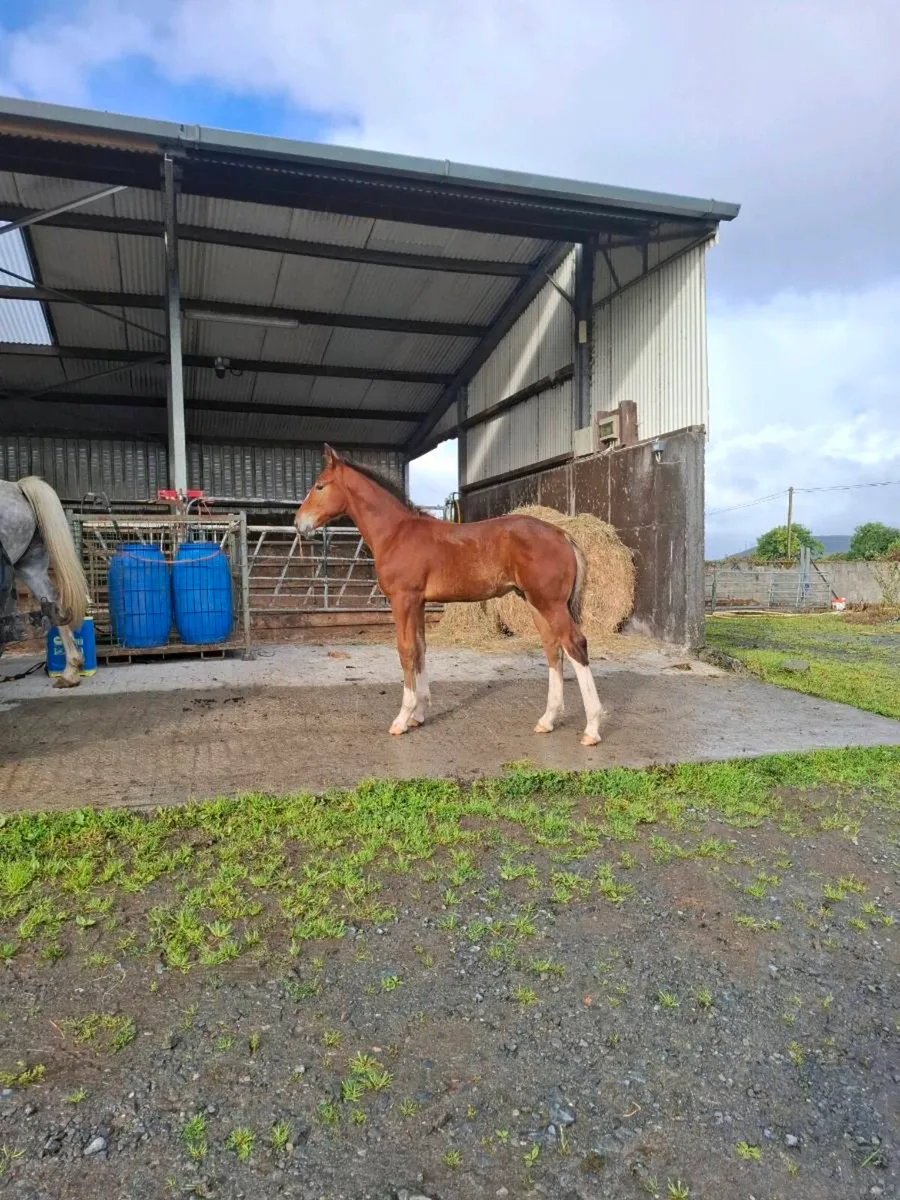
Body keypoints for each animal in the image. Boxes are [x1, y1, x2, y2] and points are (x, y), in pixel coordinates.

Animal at [294, 445, 605, 745]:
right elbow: (420, 648)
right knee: (554, 648)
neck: (396, 533)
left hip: (550, 603)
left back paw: (591, 728)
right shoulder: (418, 603)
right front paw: (418, 714)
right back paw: (547, 720)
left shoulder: (403, 600)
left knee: (575, 644)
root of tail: (563, 535)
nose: (299, 523)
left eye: (319, 486)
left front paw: (402, 719)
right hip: (535, 603)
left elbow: (406, 651)